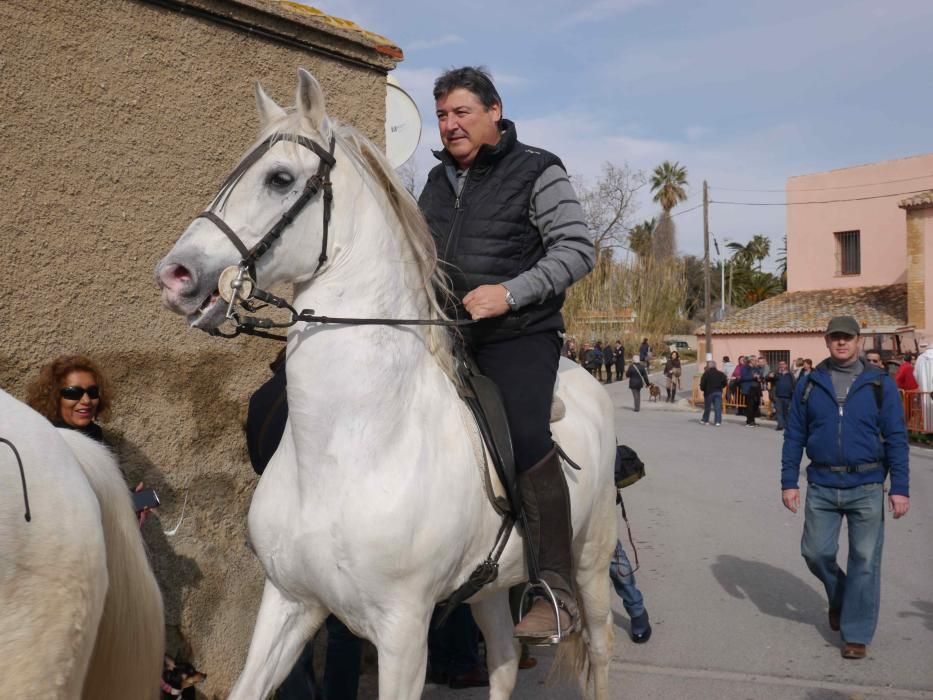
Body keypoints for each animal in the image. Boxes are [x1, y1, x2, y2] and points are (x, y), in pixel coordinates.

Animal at [155, 68, 620, 696]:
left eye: (280, 179)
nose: (175, 276)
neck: (349, 448)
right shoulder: (289, 603)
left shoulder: (404, 634)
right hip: (490, 590)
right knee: (501, 657)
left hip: (591, 566)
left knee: (597, 650)